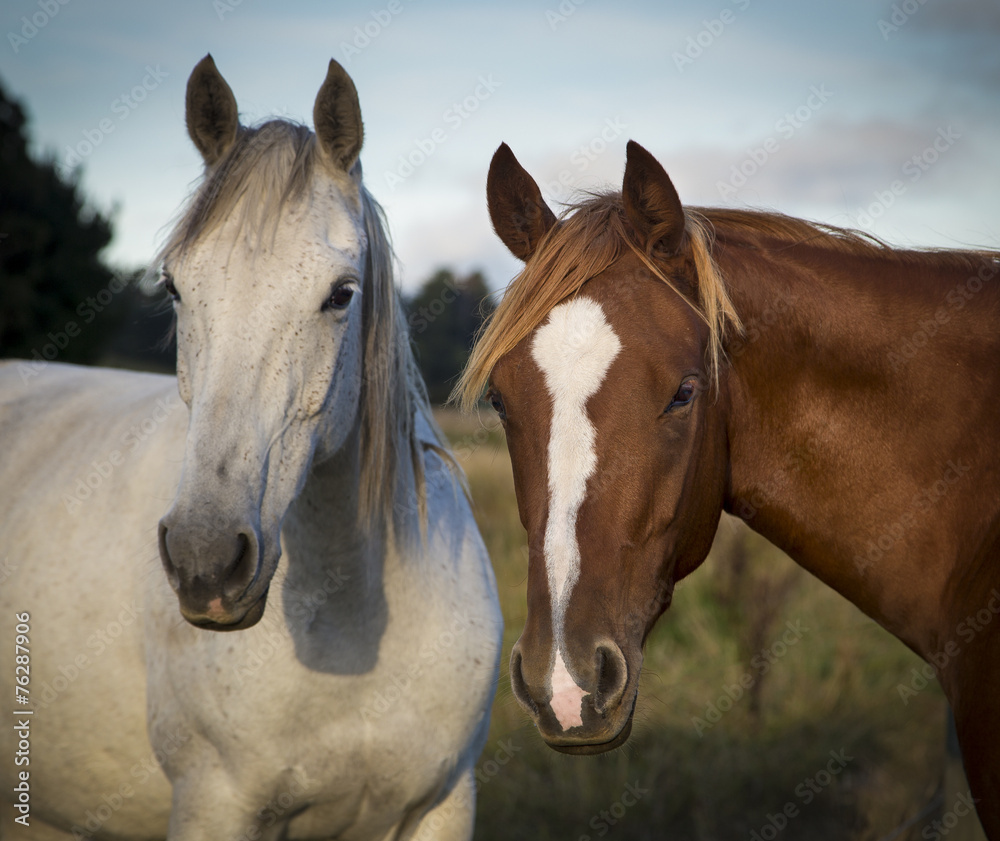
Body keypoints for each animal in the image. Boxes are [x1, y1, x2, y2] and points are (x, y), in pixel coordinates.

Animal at [0, 54, 500, 840]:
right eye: (175, 286)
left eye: (341, 293)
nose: (204, 562)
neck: (352, 627)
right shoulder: (215, 803)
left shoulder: (444, 805)